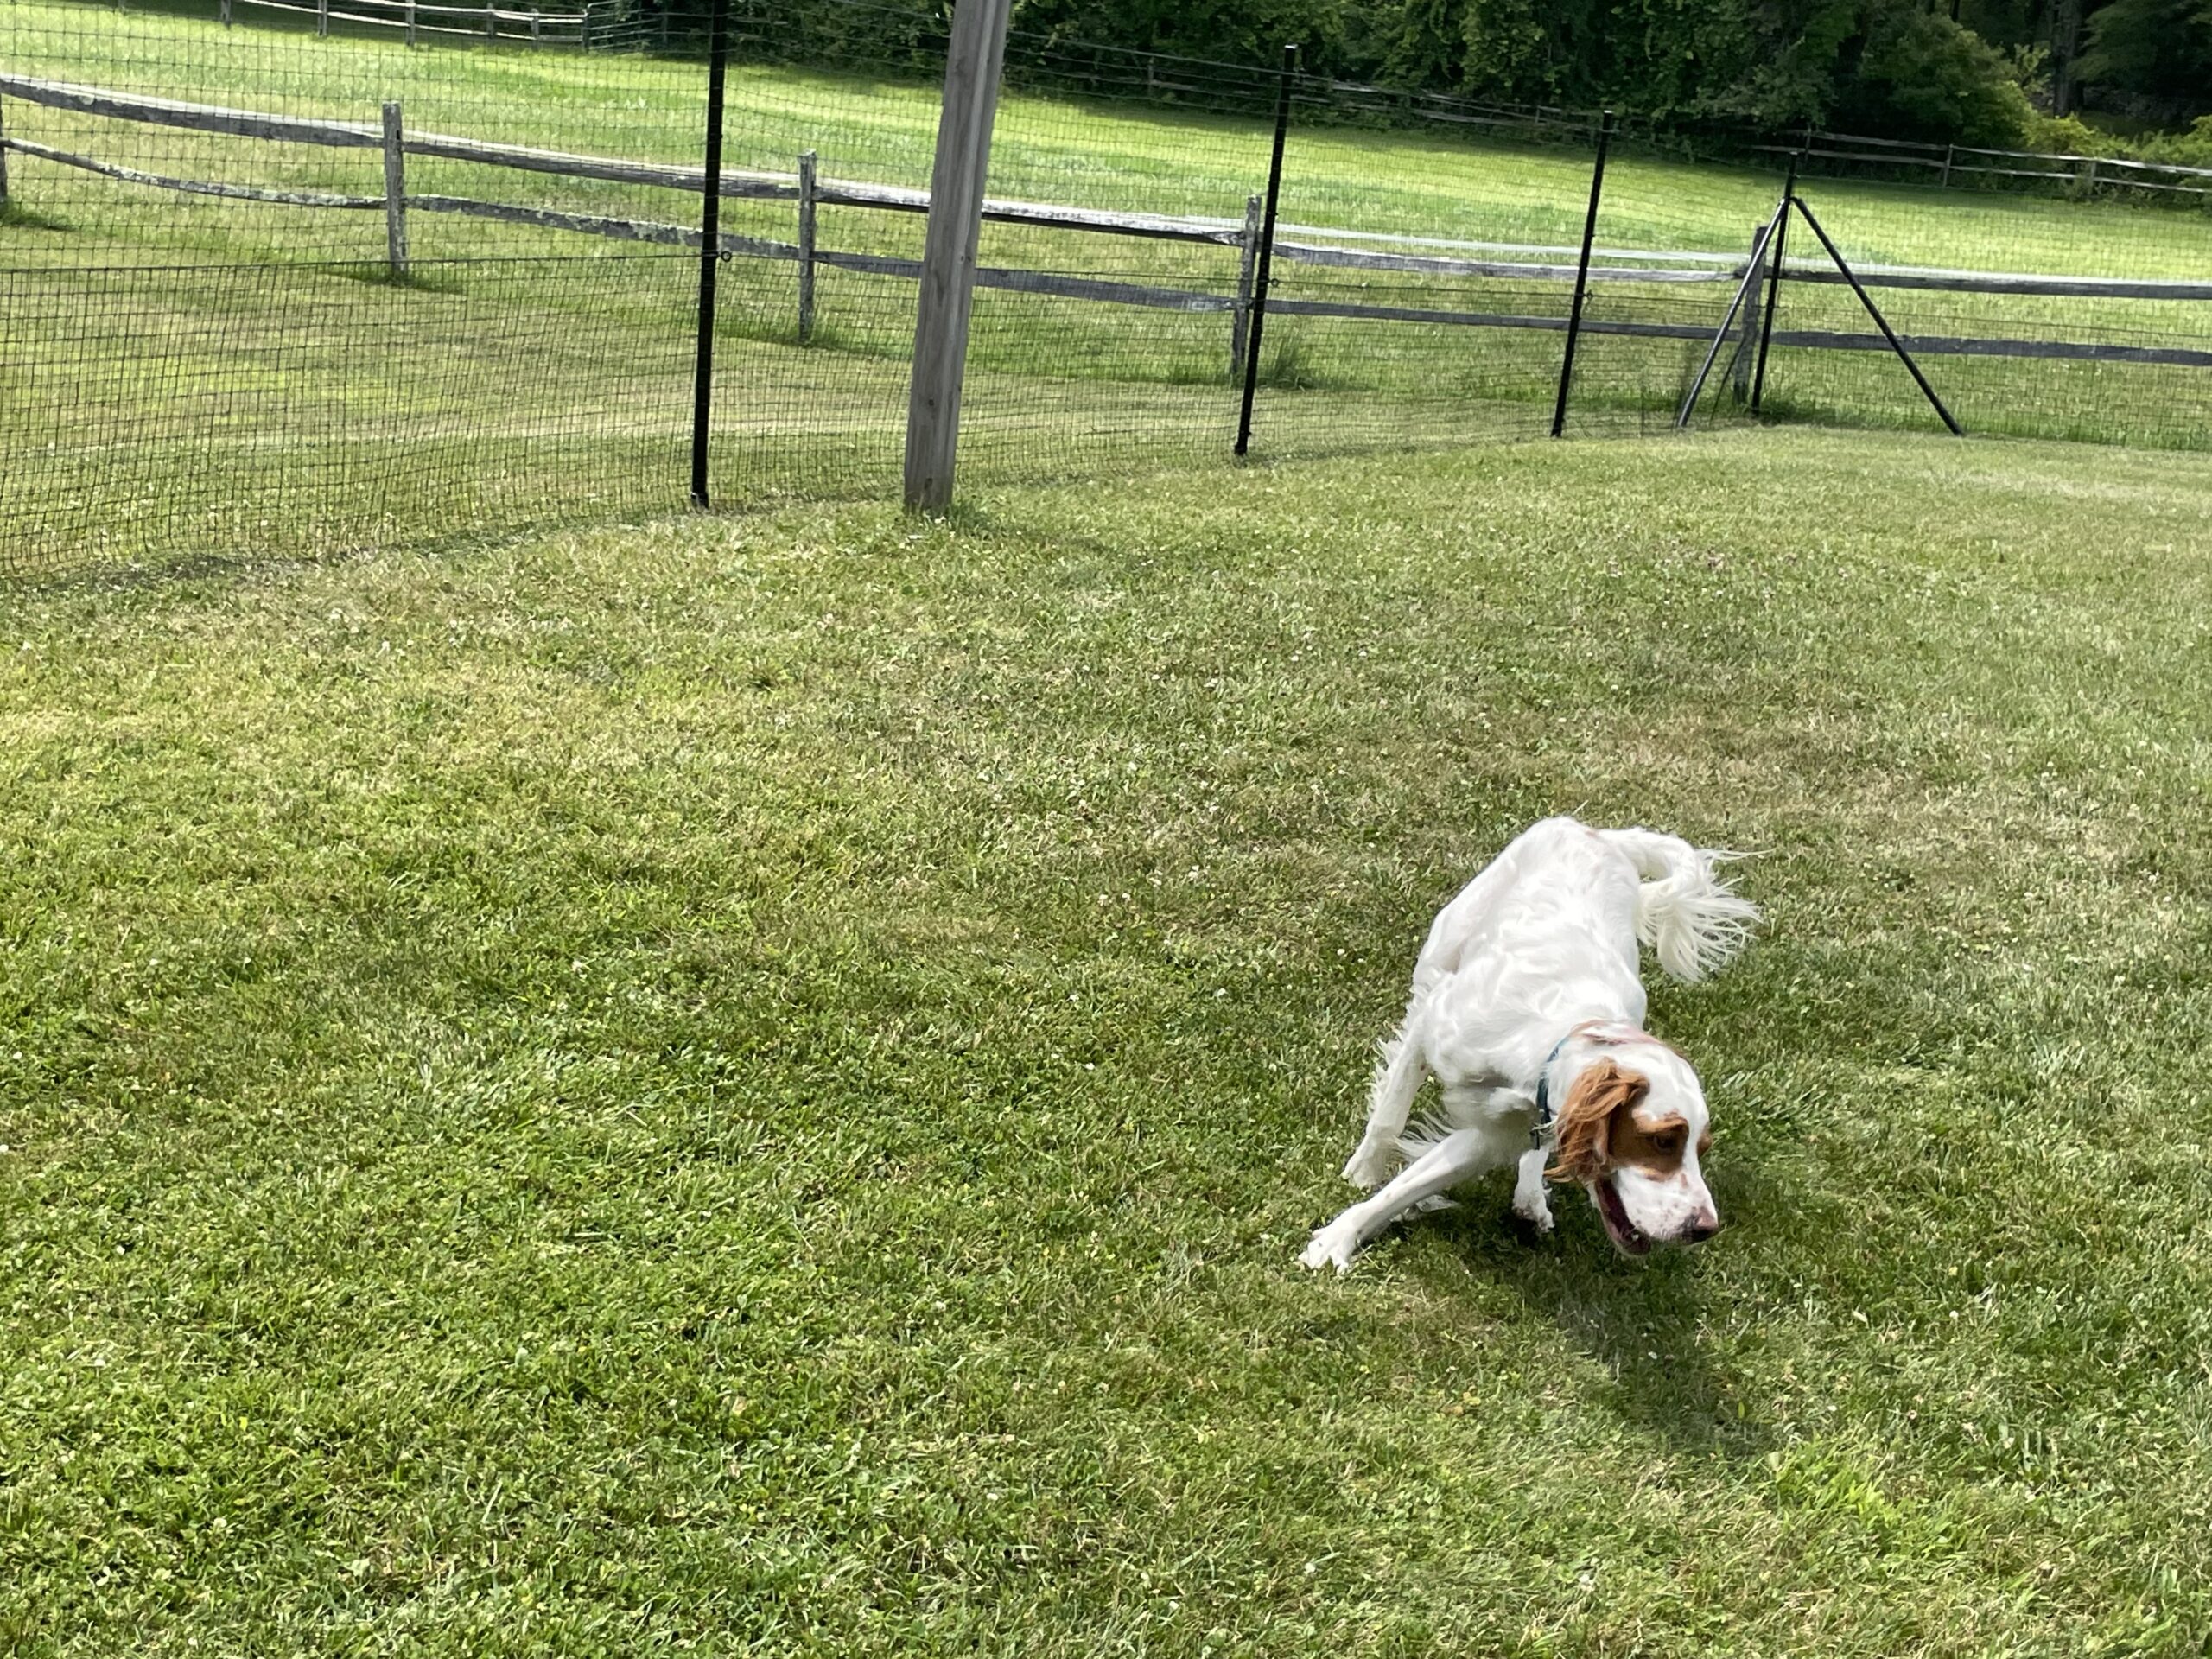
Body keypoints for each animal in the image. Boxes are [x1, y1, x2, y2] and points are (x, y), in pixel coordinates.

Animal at [1300, 817, 1757, 1272]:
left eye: (1701, 1148)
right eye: (1663, 1140)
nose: (1705, 1228)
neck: (1544, 1050)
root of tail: (1595, 833)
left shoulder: (1491, 1137)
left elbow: (1410, 1184)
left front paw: (1343, 1233)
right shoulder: (1430, 1029)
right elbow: (1389, 1120)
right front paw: (1361, 1177)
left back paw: (1531, 1195)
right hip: (1442, 952)